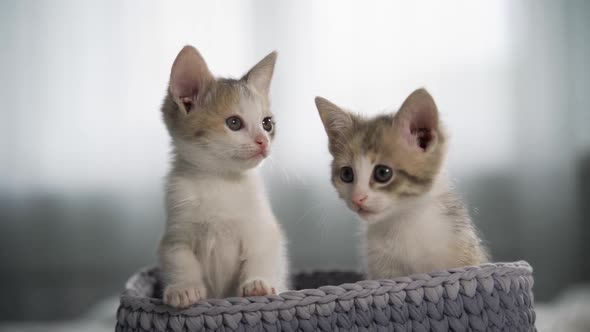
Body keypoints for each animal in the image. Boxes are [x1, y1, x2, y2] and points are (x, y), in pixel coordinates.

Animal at [156, 45, 288, 308]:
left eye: (267, 123)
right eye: (234, 122)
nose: (263, 141)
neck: (220, 181)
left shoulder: (264, 230)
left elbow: (263, 256)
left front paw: (257, 284)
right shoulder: (175, 232)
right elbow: (179, 259)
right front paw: (183, 289)